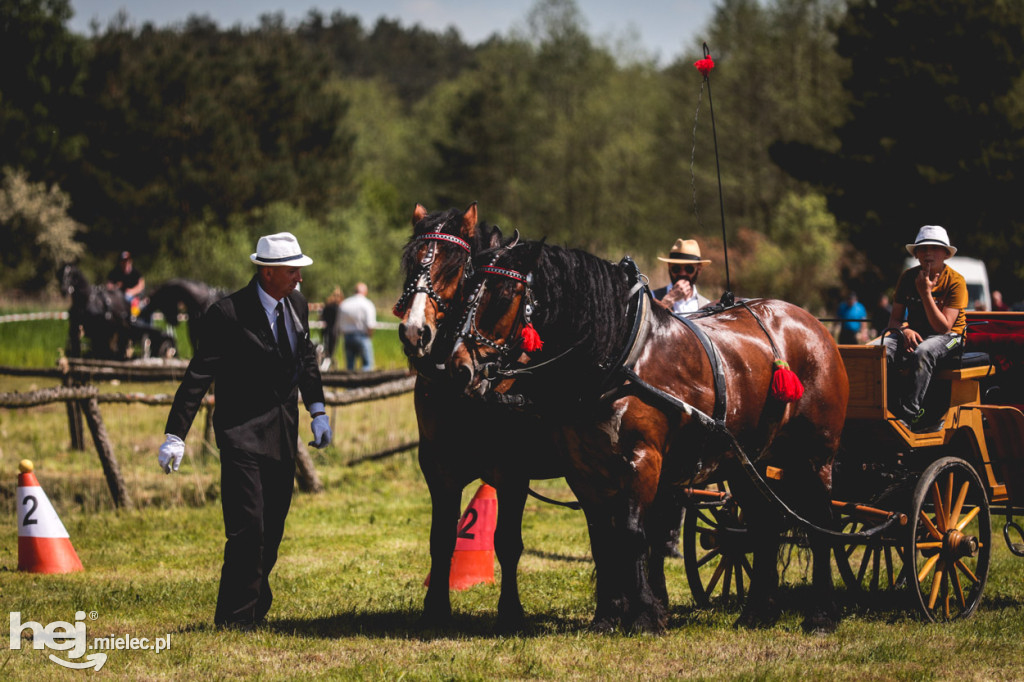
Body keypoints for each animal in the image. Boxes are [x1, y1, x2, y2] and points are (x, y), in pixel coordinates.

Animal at [446, 236, 847, 630]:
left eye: (502, 296)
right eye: (465, 292)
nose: (460, 368)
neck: (622, 355)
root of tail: (811, 324)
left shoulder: (642, 461)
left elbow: (633, 534)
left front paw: (644, 616)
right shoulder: (583, 471)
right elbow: (602, 540)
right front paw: (607, 616)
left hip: (815, 456)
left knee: (822, 525)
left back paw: (822, 613)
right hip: (748, 463)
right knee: (765, 526)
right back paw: (756, 613)